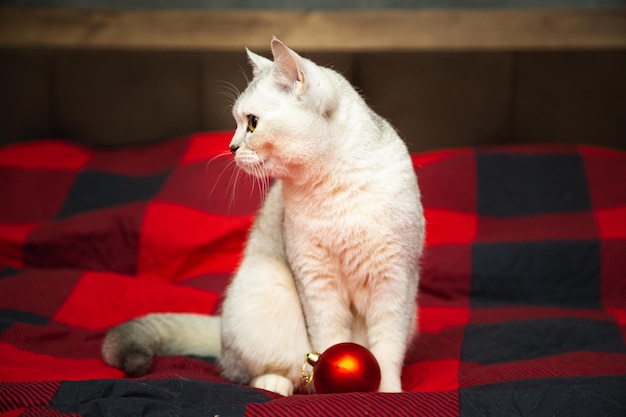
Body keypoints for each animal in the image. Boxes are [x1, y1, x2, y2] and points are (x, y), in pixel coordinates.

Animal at [102, 37, 424, 394]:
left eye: (253, 123)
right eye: (236, 123)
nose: (231, 147)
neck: (333, 187)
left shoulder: (395, 281)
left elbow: (386, 353)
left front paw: (388, 393)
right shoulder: (317, 282)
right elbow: (330, 344)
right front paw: (335, 382)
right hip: (267, 285)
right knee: (254, 370)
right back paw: (276, 384)